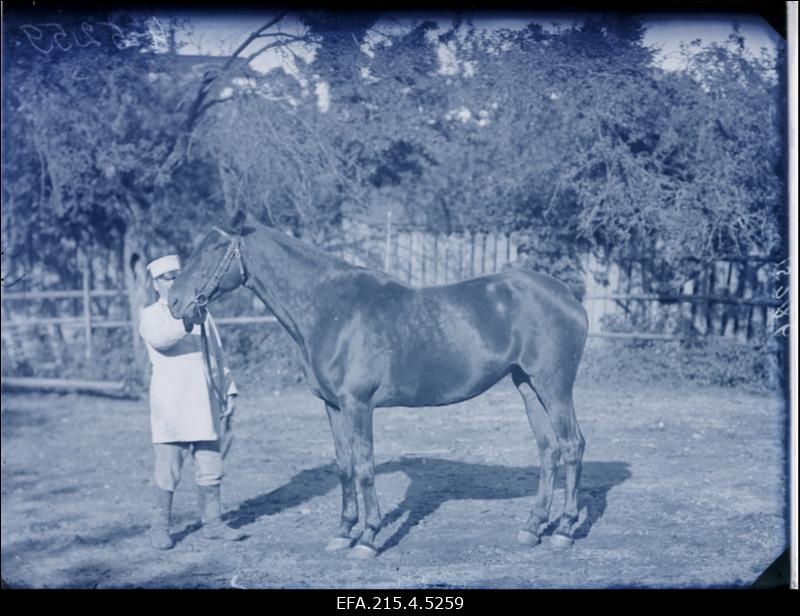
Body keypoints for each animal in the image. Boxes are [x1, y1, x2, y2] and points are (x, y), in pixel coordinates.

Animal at [169, 214, 588, 560]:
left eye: (212, 249)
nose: (173, 301)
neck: (330, 310)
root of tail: (570, 298)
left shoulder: (358, 404)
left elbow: (365, 466)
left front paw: (369, 538)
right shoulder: (333, 406)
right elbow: (345, 466)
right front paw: (343, 532)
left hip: (554, 386)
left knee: (571, 446)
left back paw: (564, 530)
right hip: (528, 386)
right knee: (549, 450)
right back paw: (533, 527)